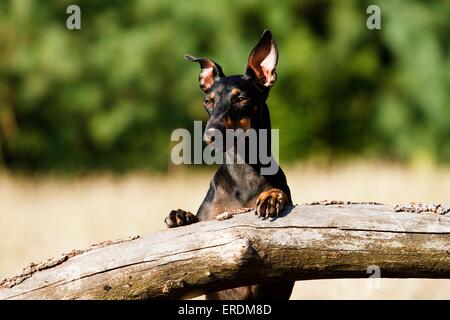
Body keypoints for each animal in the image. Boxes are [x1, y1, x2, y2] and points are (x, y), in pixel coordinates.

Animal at [163, 30, 294, 300]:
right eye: (208, 101)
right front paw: (181, 216)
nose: (209, 136)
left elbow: (278, 193)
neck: (243, 170)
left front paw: (270, 198)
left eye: (240, 98)